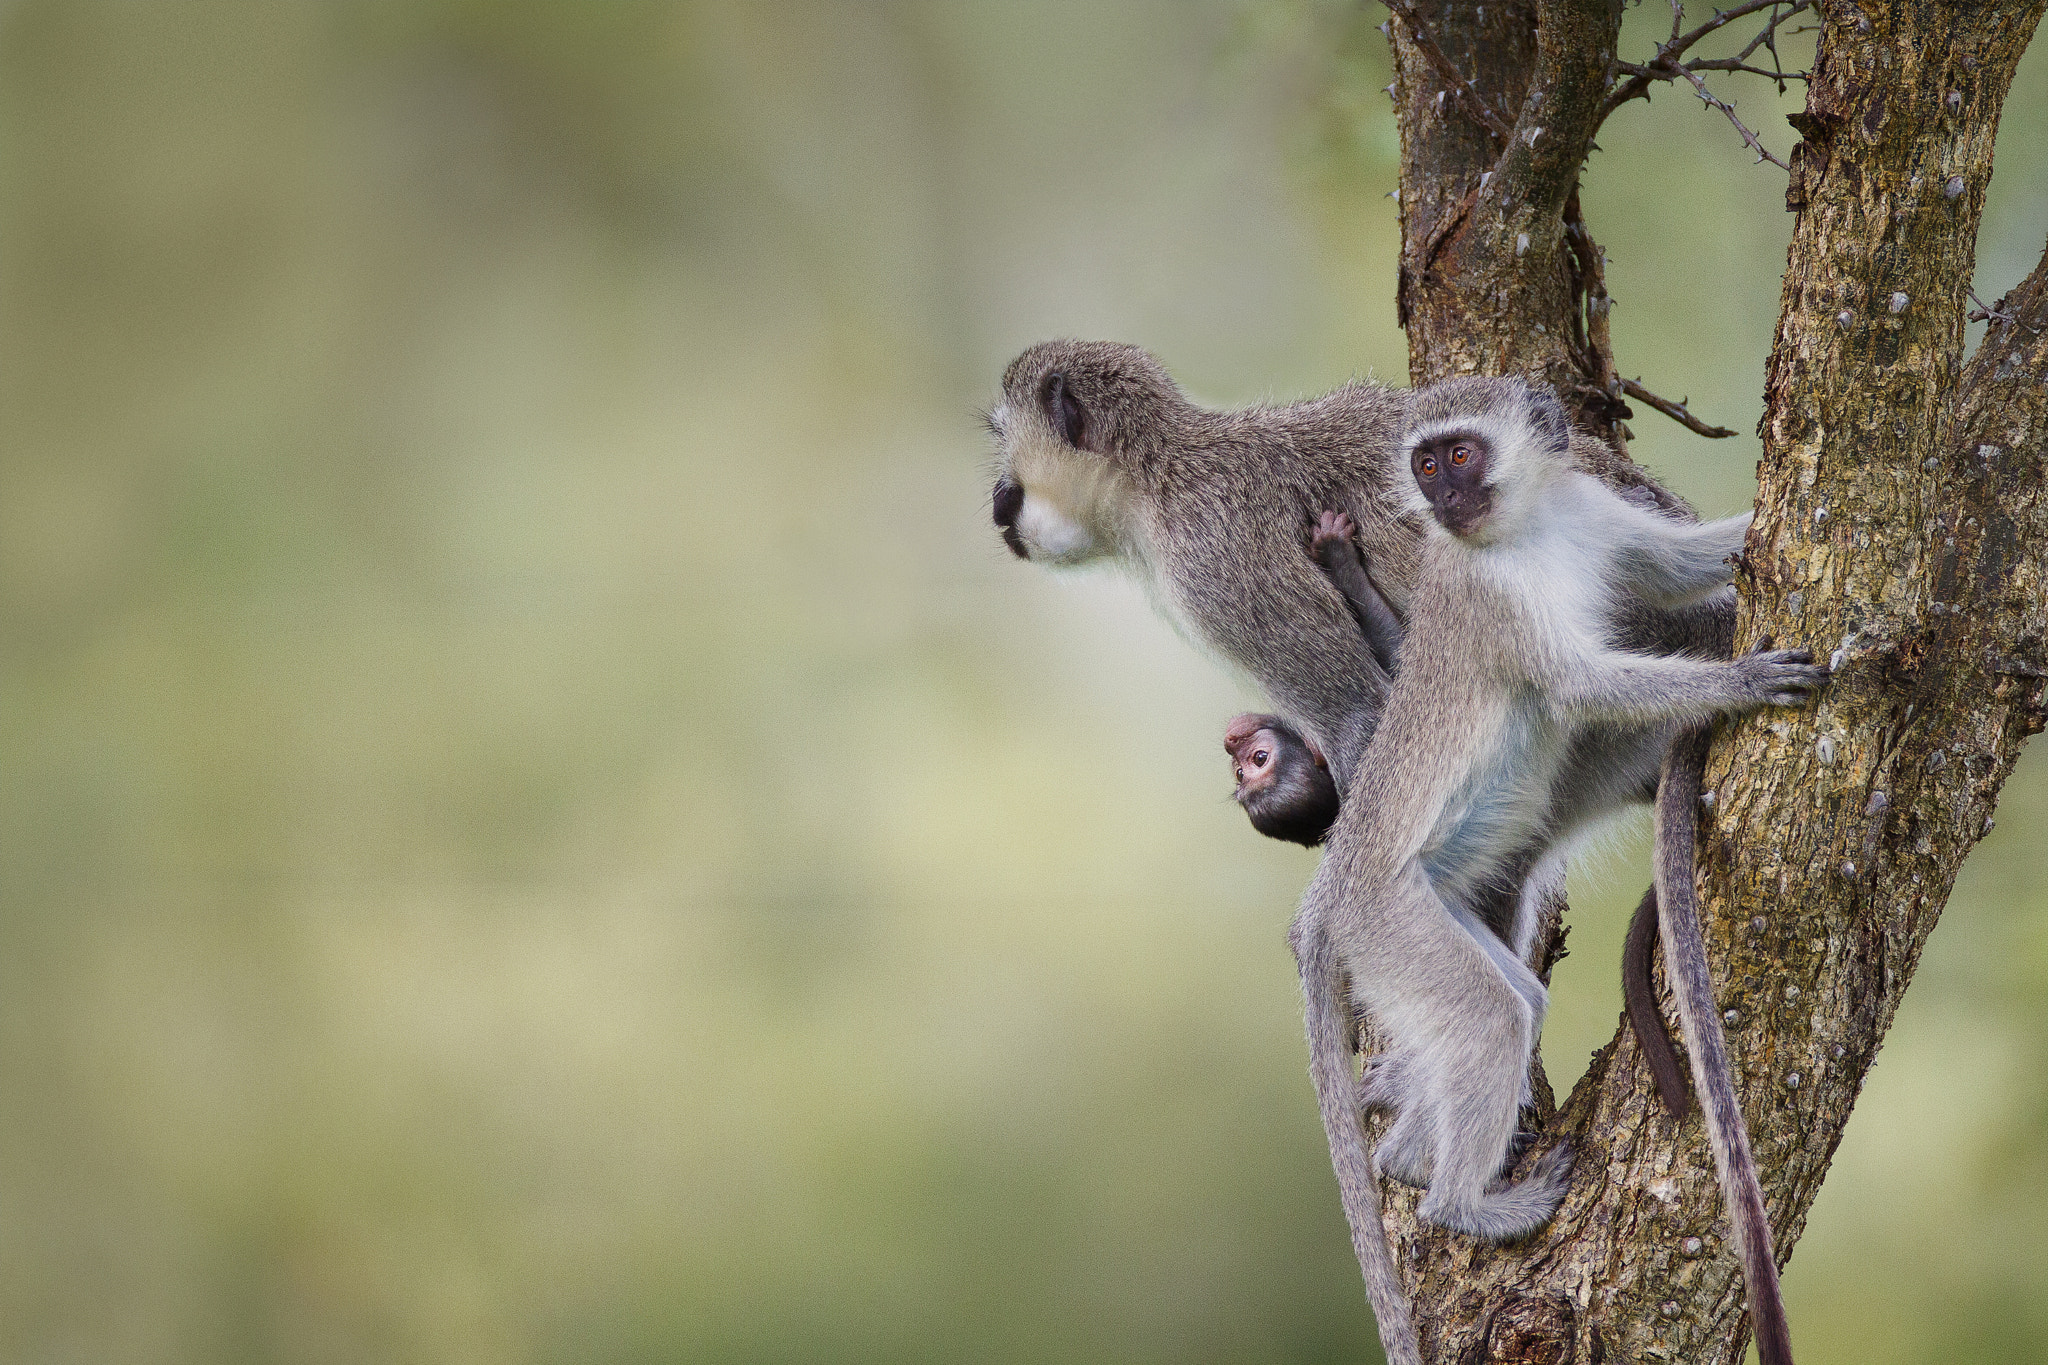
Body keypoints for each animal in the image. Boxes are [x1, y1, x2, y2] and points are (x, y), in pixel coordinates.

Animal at [1294, 376, 1826, 1365]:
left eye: (1459, 454)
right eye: (1426, 462)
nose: (1441, 498)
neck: (1526, 531)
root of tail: (1337, 892)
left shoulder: (1590, 509)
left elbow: (1677, 566)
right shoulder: (1495, 602)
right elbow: (1582, 684)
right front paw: (1741, 680)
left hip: (1431, 905)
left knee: (1515, 1001)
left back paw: (1411, 1155)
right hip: (1390, 919)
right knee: (1490, 1016)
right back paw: (1460, 1203)